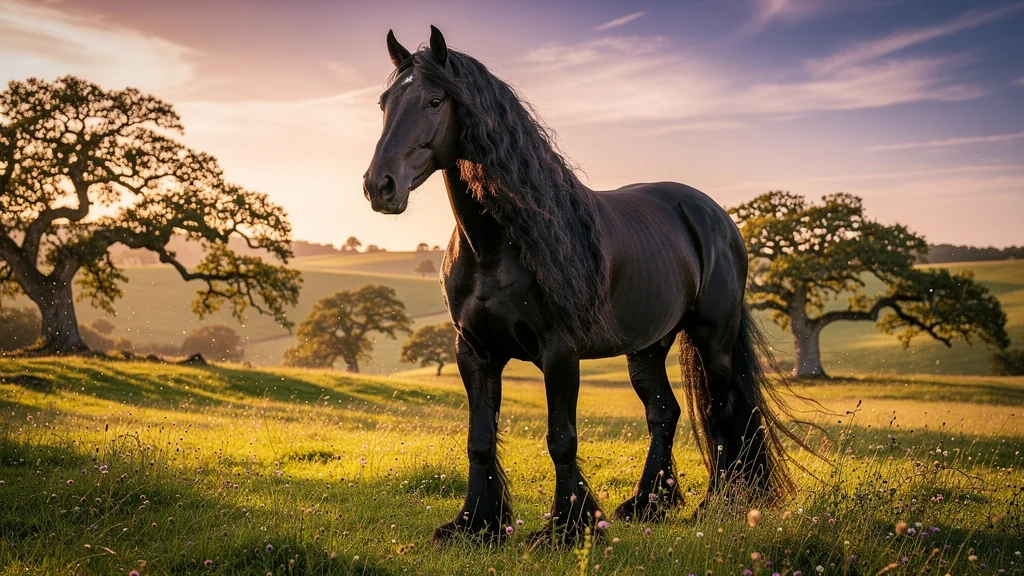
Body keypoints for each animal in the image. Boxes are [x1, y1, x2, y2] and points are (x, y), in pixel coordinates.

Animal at [363, 26, 798, 546]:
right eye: (384, 102)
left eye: (434, 100)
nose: (380, 186)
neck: (498, 244)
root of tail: (715, 216)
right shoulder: (473, 352)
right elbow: (480, 441)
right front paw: (476, 524)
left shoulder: (559, 352)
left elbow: (561, 439)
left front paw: (568, 528)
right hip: (647, 347)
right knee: (664, 413)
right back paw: (647, 505)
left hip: (713, 340)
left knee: (722, 414)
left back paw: (717, 506)